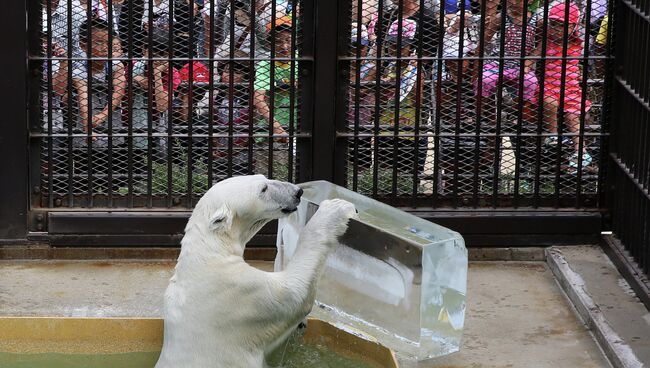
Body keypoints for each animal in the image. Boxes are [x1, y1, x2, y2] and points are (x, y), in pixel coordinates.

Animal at [154, 175, 354, 368]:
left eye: (265, 178)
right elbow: (294, 292)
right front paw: (336, 209)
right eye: (263, 189)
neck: (209, 252)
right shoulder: (240, 294)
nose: (297, 192)